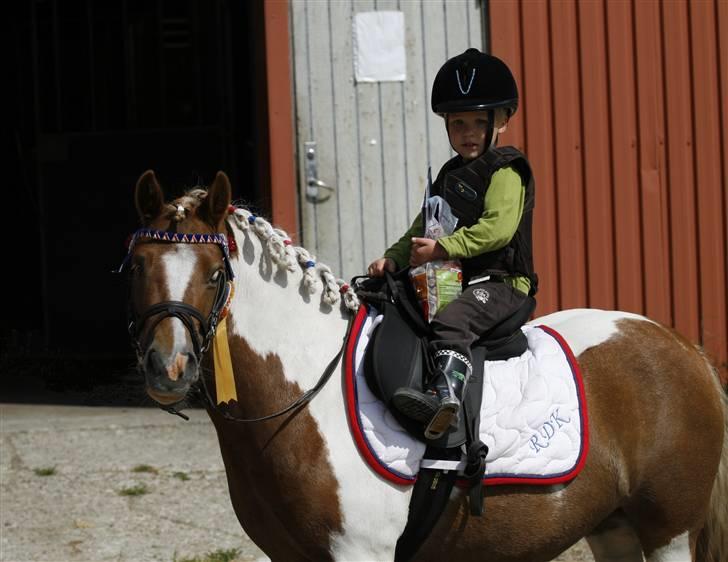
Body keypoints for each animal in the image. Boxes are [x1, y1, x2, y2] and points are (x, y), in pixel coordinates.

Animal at [126, 172, 728, 560]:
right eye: (137, 265)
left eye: (213, 274)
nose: (168, 367)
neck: (304, 400)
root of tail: (683, 346)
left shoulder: (359, 554)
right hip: (613, 527)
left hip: (668, 532)